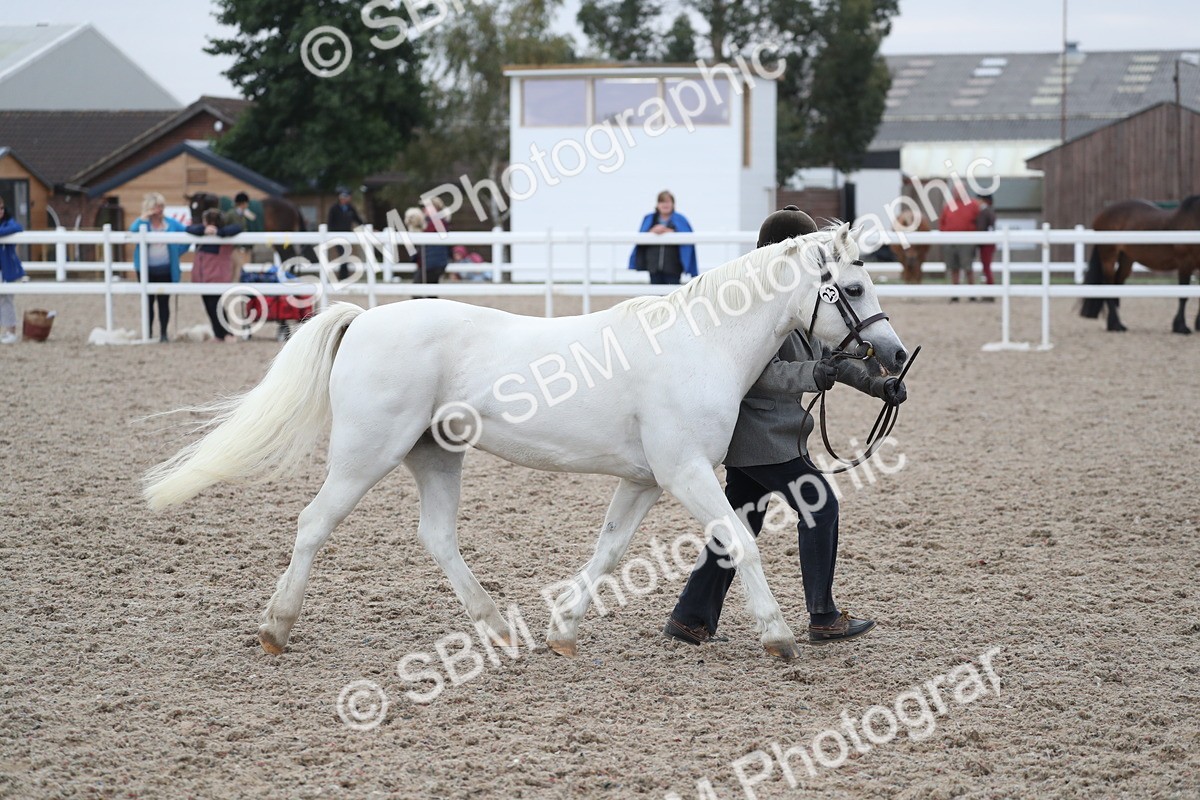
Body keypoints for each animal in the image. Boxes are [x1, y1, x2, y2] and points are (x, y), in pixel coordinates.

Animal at [141, 223, 909, 662]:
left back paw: (498, 628)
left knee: (437, 537)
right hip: (366, 455)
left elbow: (608, 552)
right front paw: (778, 637)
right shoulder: (685, 472)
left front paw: (564, 634)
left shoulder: (644, 480)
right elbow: (739, 543)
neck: (700, 343)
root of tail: (361, 320)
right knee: (313, 524)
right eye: (852, 284)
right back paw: (276, 629)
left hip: (436, 455)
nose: (896, 356)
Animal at [1080, 196, 1200, 333]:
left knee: (1117, 285)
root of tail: (1102, 214)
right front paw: (1181, 326)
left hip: (1126, 260)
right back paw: (1115, 325)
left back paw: (1117, 324)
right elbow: (1183, 295)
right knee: (1109, 286)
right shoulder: (1185, 264)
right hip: (1108, 257)